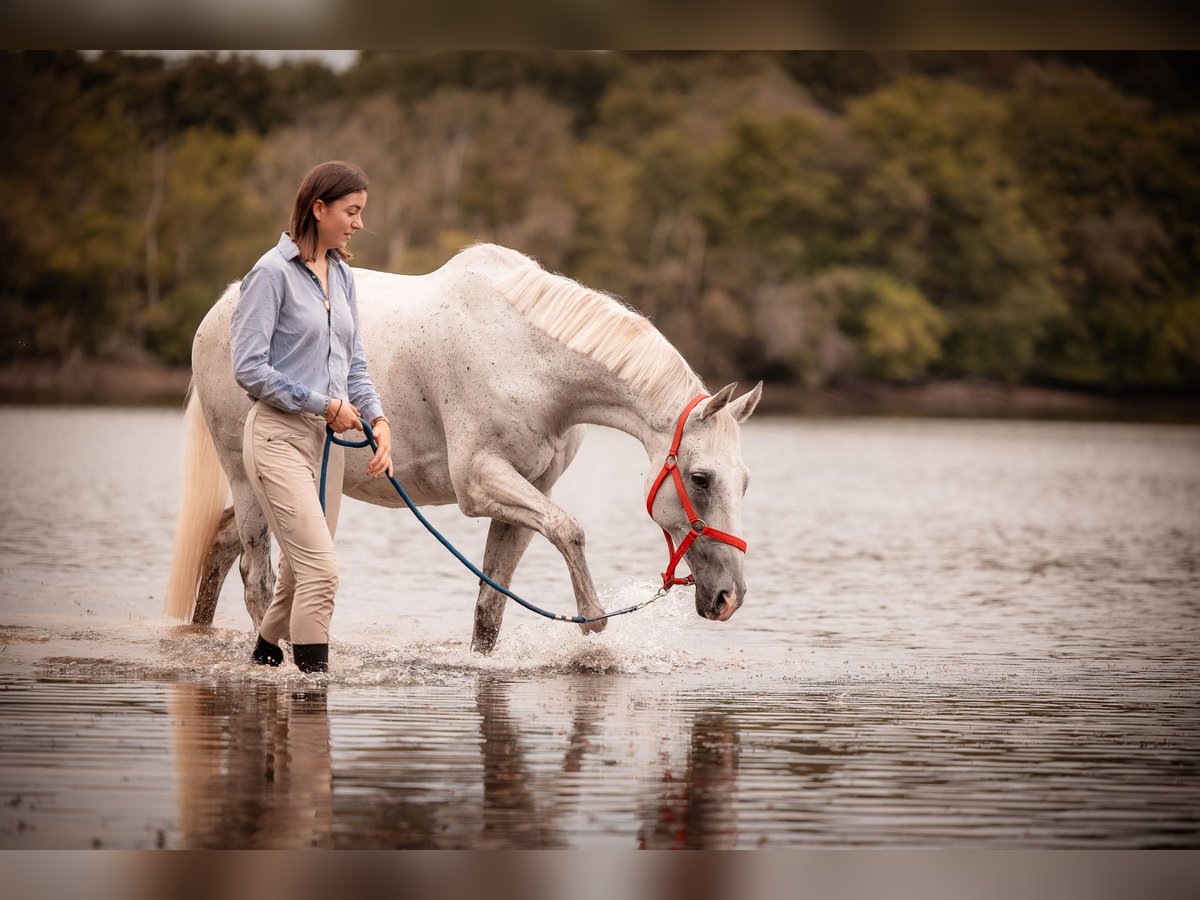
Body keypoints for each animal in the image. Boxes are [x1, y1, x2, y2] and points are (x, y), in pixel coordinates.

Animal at [164, 244, 758, 657]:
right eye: (701, 478)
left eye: (745, 481)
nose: (729, 597)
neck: (531, 361)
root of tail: (222, 308)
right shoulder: (480, 480)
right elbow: (570, 530)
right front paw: (593, 619)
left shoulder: (529, 492)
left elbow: (491, 605)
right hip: (251, 480)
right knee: (256, 579)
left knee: (219, 547)